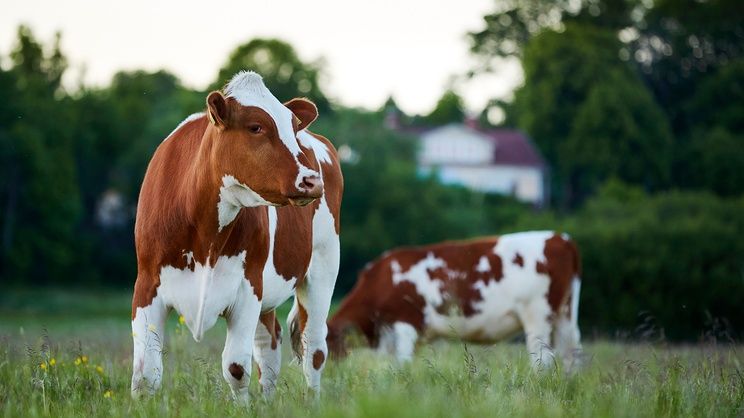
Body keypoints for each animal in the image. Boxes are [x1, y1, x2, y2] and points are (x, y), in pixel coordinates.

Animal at [130, 70, 342, 400]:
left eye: (294, 126)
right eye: (255, 127)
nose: (311, 180)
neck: (203, 233)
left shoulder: (247, 288)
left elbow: (236, 368)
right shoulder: (146, 285)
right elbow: (145, 375)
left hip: (323, 265)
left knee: (314, 349)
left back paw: (313, 402)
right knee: (269, 347)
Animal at [328, 230, 584, 370]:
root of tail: (560, 238)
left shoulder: (407, 322)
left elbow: (403, 363)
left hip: (538, 315)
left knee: (543, 357)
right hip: (566, 314)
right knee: (571, 354)